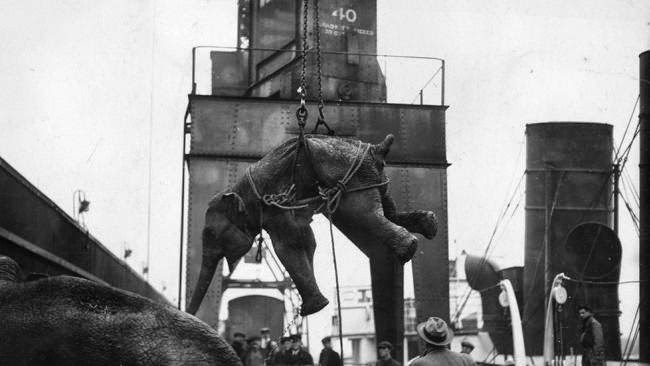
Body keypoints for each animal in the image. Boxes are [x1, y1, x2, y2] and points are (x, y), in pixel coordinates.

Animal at [187, 133, 438, 316]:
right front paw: (315, 306)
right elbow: (306, 240)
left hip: (355, 179)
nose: (189, 314)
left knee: (364, 214)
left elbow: (287, 246)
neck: (238, 189)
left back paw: (408, 249)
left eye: (211, 232)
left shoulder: (273, 208)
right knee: (387, 210)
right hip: (375, 177)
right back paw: (430, 225)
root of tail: (377, 148)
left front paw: (311, 309)